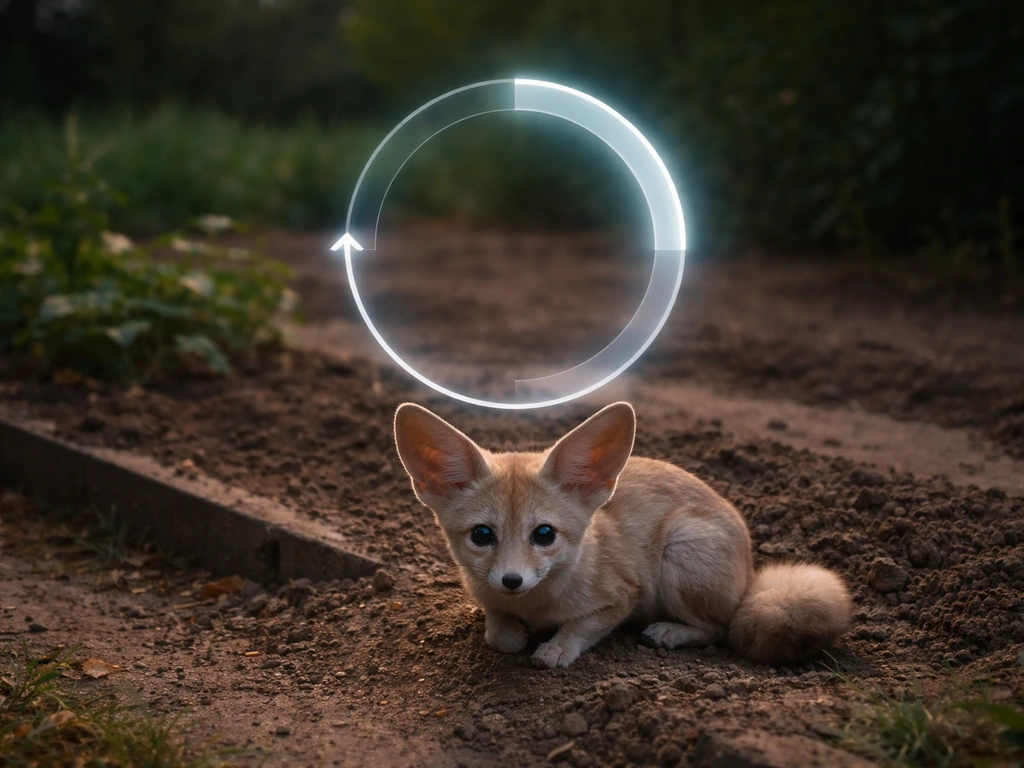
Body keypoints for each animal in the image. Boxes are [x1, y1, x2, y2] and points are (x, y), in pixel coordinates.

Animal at [393, 401, 852, 669]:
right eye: (482, 535)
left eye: (544, 534)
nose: (512, 580)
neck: (536, 605)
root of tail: (752, 573)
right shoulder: (487, 596)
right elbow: (497, 630)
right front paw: (511, 632)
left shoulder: (623, 596)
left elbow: (581, 627)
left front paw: (557, 647)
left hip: (681, 555)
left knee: (722, 628)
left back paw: (670, 632)